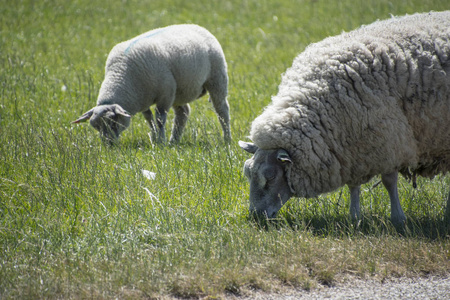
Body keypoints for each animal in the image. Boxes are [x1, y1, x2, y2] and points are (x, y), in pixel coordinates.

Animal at [73, 24, 232, 144]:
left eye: (113, 122)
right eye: (96, 127)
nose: (108, 144)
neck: (121, 74)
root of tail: (197, 26)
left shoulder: (164, 95)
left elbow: (160, 119)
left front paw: (160, 141)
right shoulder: (143, 99)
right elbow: (149, 119)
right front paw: (155, 138)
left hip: (216, 78)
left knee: (222, 110)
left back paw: (227, 139)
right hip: (179, 90)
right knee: (183, 112)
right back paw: (174, 141)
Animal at [239, 11, 450, 227]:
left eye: (271, 177)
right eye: (247, 172)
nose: (255, 216)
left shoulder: (388, 142)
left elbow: (389, 182)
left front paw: (398, 218)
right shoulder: (353, 150)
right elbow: (353, 186)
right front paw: (354, 217)